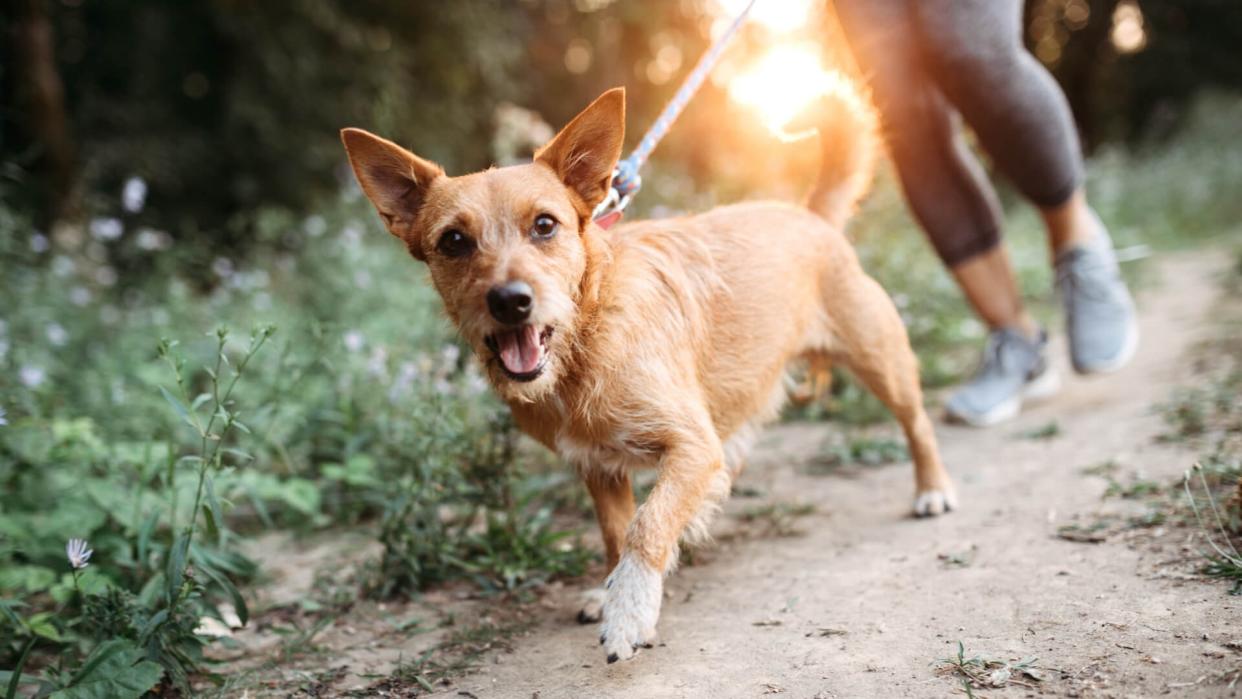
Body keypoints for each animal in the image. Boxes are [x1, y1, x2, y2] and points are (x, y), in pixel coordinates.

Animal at [345, 85, 953, 665]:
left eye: (544, 225)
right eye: (453, 241)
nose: (510, 302)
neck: (585, 341)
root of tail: (810, 216)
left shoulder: (691, 447)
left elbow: (647, 524)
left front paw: (630, 610)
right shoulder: (599, 467)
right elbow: (617, 532)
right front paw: (614, 590)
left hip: (880, 358)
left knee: (917, 422)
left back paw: (933, 490)